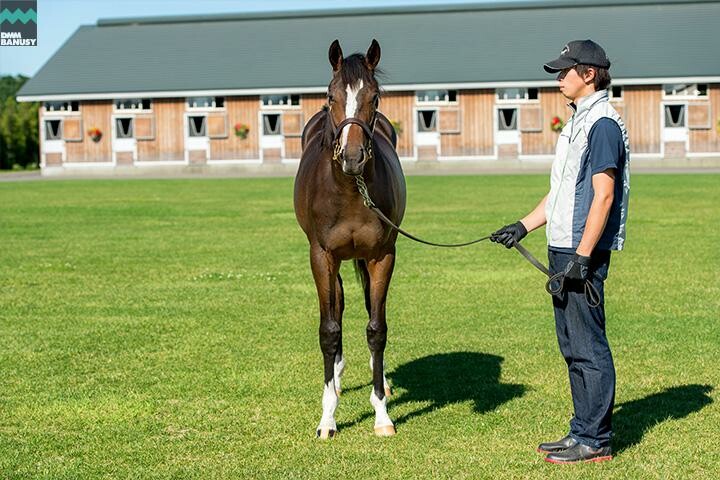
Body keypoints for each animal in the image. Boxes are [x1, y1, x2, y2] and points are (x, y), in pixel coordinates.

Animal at [292, 39, 404, 438]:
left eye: (375, 96)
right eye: (330, 96)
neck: (350, 191)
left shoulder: (383, 255)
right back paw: (337, 379)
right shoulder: (321, 256)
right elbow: (329, 330)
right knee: (337, 306)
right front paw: (327, 418)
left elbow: (376, 328)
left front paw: (382, 414)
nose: (353, 157)